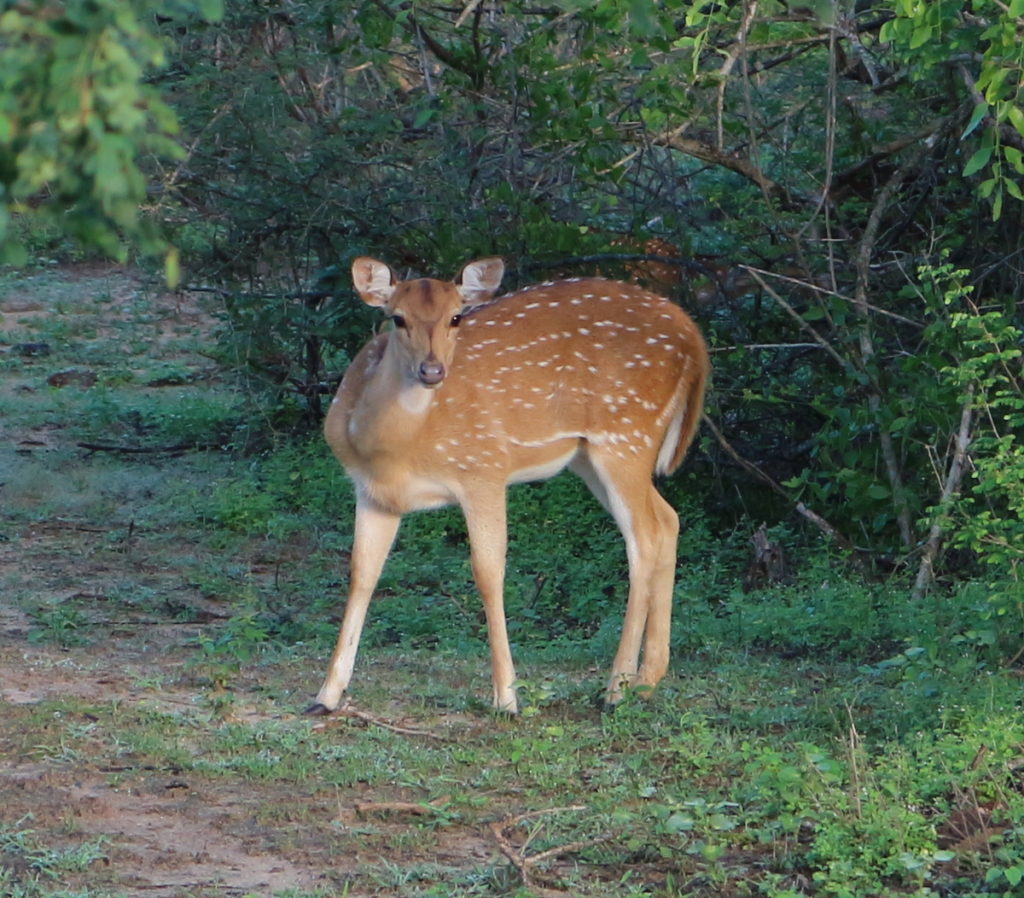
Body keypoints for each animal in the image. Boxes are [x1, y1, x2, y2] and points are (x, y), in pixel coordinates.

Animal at [309, 255, 712, 712]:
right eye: (397, 318)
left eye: (456, 317)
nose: (432, 370)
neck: (392, 449)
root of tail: (693, 335)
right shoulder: (373, 493)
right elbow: (362, 573)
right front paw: (326, 694)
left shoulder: (483, 468)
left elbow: (488, 572)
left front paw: (506, 697)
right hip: (590, 457)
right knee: (668, 519)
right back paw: (647, 678)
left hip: (626, 434)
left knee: (643, 537)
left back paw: (616, 687)